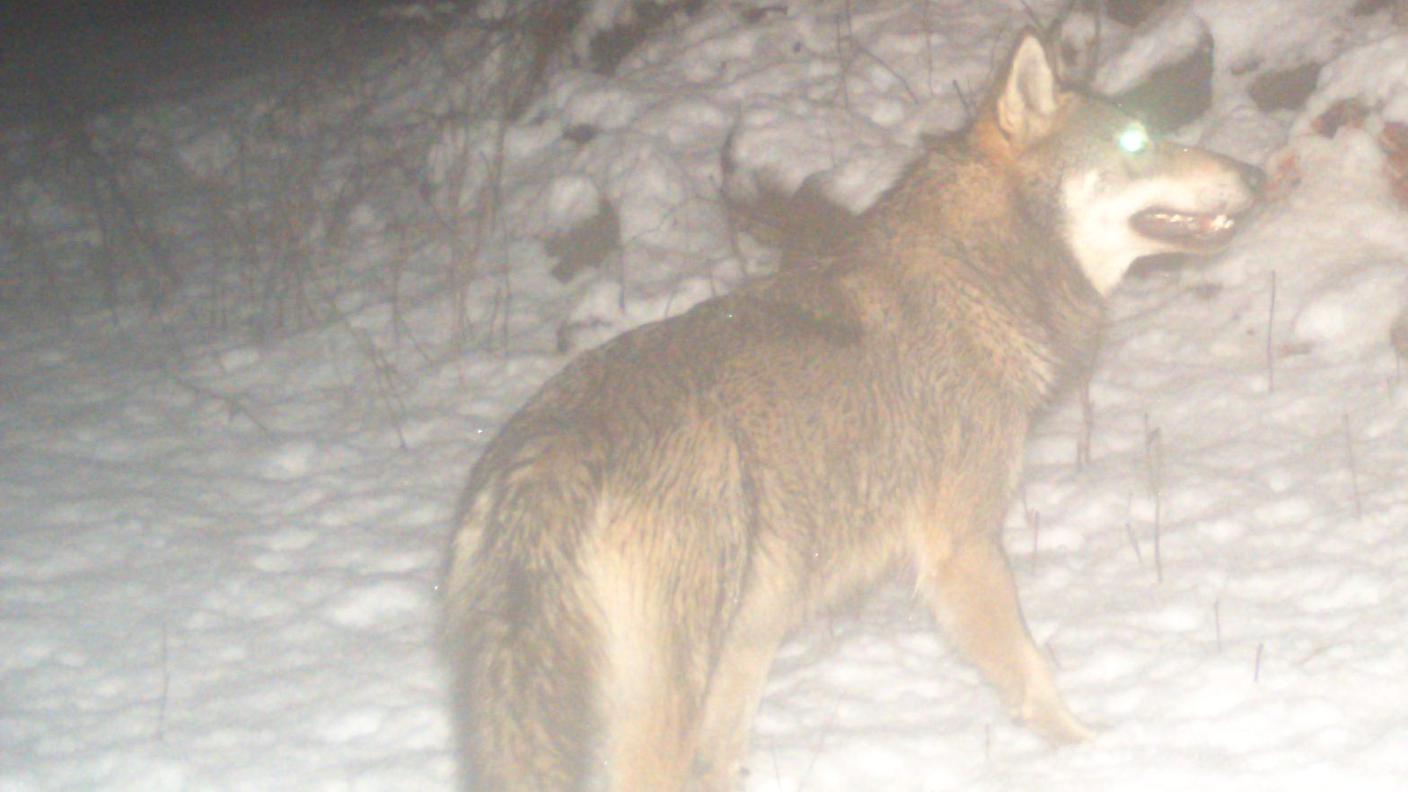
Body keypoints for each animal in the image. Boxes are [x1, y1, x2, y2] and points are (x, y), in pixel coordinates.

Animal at [445, 30, 1262, 792]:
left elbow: (725, 757)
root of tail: (550, 447)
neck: (982, 275)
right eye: (1138, 142)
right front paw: (1096, 754)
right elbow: (1034, 675)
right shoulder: (964, 551)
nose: (1255, 171)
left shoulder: (754, 635)